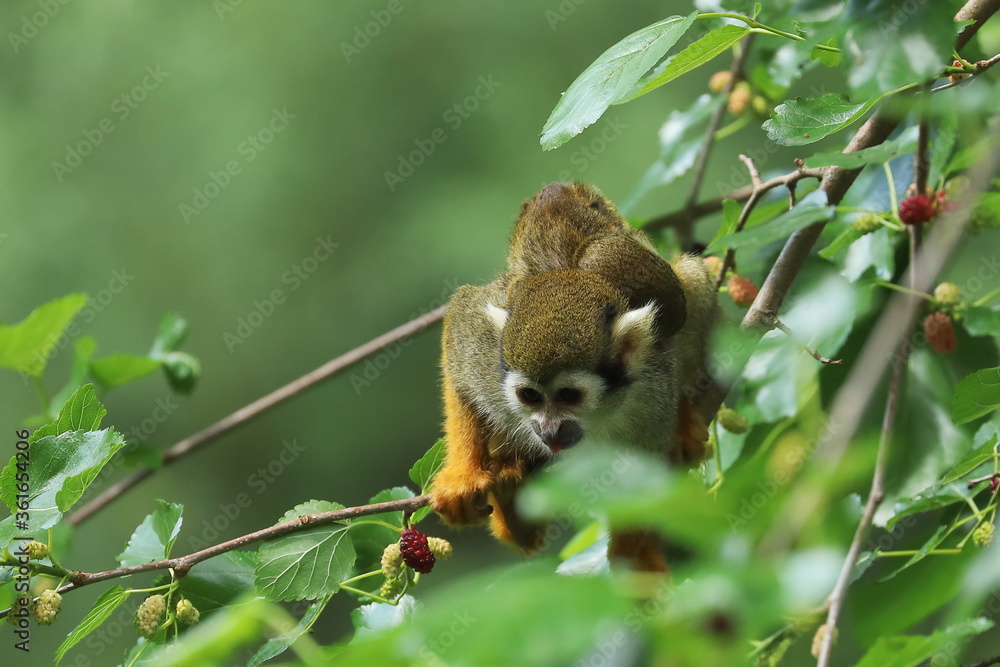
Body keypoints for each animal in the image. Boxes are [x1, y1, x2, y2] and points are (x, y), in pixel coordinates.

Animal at [430, 182, 721, 571]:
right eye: (530, 396)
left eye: (569, 396)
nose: (549, 429)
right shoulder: (488, 360)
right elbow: (459, 334)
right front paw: (463, 476)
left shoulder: (651, 394)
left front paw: (632, 555)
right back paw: (513, 507)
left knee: (690, 279)